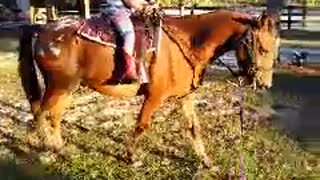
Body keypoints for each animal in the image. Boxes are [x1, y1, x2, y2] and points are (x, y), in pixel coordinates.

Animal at [18, 8, 278, 166]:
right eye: (262, 48)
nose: (265, 85)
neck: (187, 41)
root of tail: (43, 29)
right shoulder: (154, 97)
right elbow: (141, 125)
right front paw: (131, 157)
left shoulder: (185, 97)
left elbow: (194, 128)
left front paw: (206, 161)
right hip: (60, 86)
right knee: (40, 113)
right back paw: (42, 146)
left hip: (67, 88)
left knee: (53, 116)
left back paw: (60, 148)